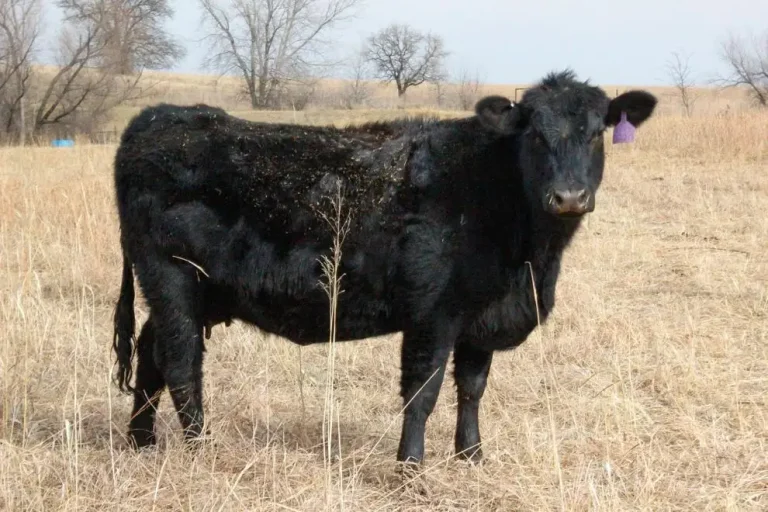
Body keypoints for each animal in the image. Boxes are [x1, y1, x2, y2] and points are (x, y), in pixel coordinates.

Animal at [111, 70, 657, 465]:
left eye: (596, 134)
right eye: (536, 136)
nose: (569, 197)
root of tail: (158, 118)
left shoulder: (481, 317)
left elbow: (472, 388)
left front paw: (471, 455)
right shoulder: (433, 313)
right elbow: (423, 391)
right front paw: (411, 466)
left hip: (192, 292)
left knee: (150, 354)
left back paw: (142, 441)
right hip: (172, 279)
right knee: (180, 362)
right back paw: (200, 448)